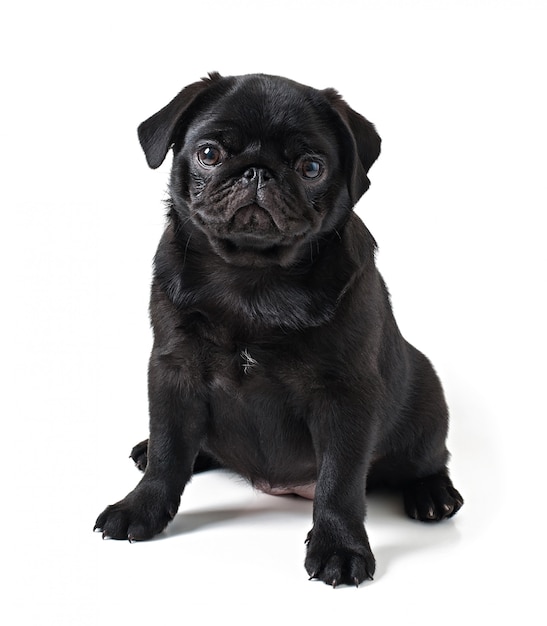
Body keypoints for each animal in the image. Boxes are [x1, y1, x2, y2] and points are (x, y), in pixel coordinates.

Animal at [94, 73, 462, 584]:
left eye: (311, 167)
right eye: (209, 153)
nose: (257, 172)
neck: (252, 279)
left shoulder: (344, 395)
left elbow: (340, 481)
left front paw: (339, 546)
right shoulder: (173, 371)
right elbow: (169, 451)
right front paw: (141, 507)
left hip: (425, 406)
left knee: (428, 459)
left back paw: (433, 494)